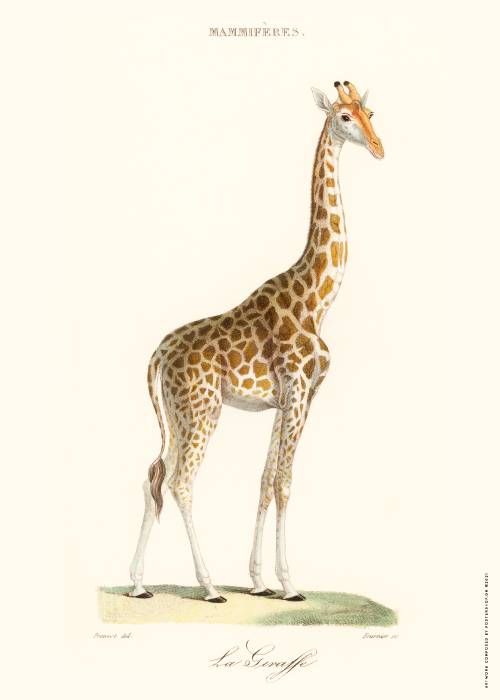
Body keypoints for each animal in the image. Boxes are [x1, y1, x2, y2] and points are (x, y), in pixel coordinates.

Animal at [129, 80, 384, 602]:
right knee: (181, 482)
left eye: (370, 114)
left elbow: (265, 480)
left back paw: (139, 584)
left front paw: (260, 580)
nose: (378, 147)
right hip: (203, 409)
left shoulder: (288, 399)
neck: (317, 299)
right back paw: (208, 586)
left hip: (178, 411)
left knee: (154, 477)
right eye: (343, 117)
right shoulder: (300, 391)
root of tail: (159, 353)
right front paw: (289, 584)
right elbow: (284, 481)